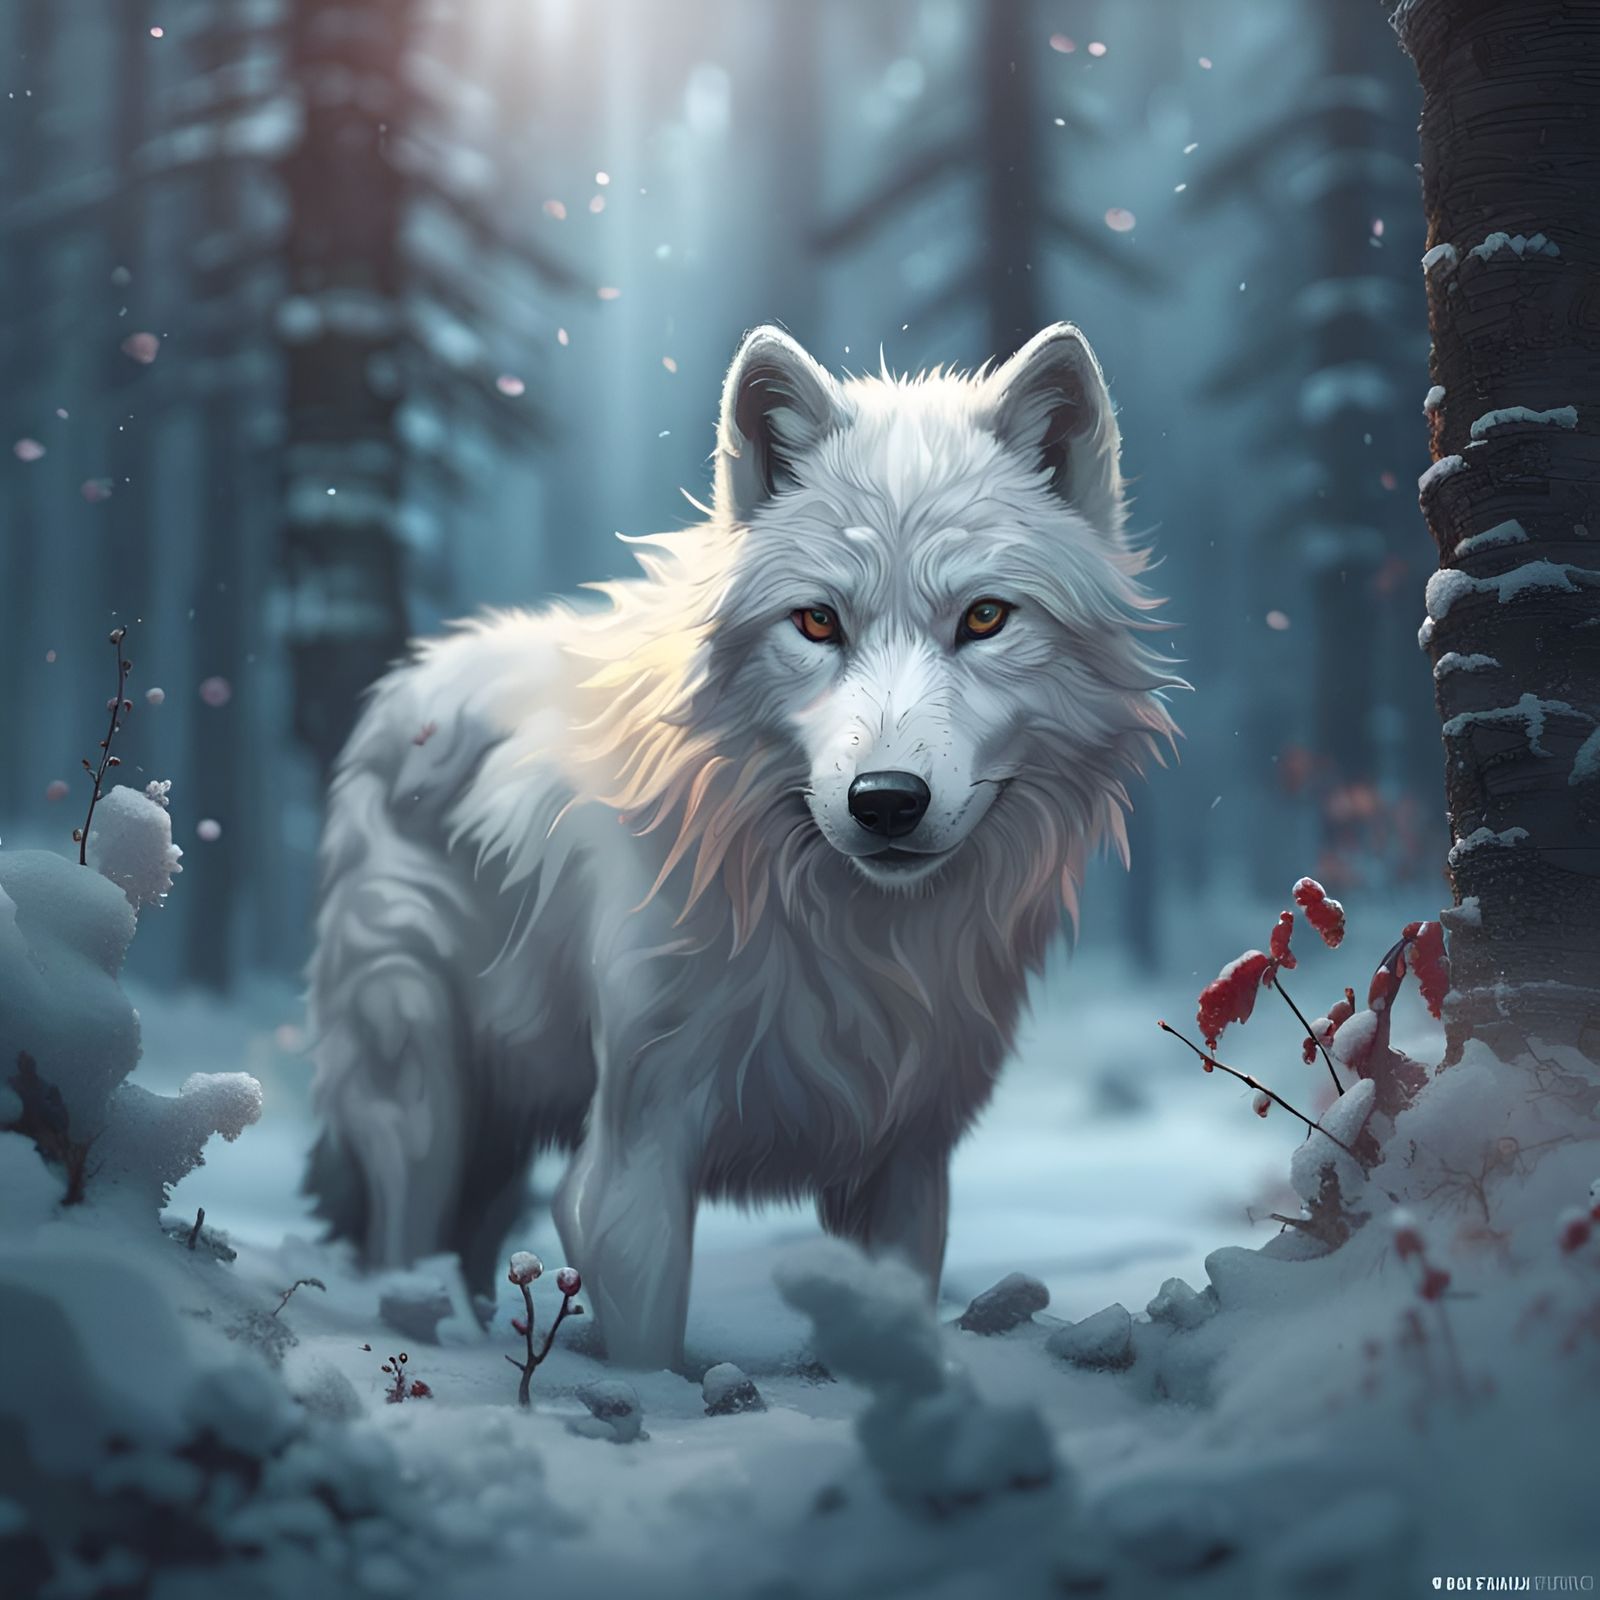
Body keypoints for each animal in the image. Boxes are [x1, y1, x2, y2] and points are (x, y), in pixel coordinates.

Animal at [304, 322, 1179, 1370]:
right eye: (817, 621)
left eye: (984, 618)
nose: (887, 802)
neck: (847, 930)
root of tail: (412, 680)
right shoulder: (631, 1160)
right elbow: (646, 1340)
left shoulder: (907, 1160)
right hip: (422, 1095)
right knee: (406, 1236)